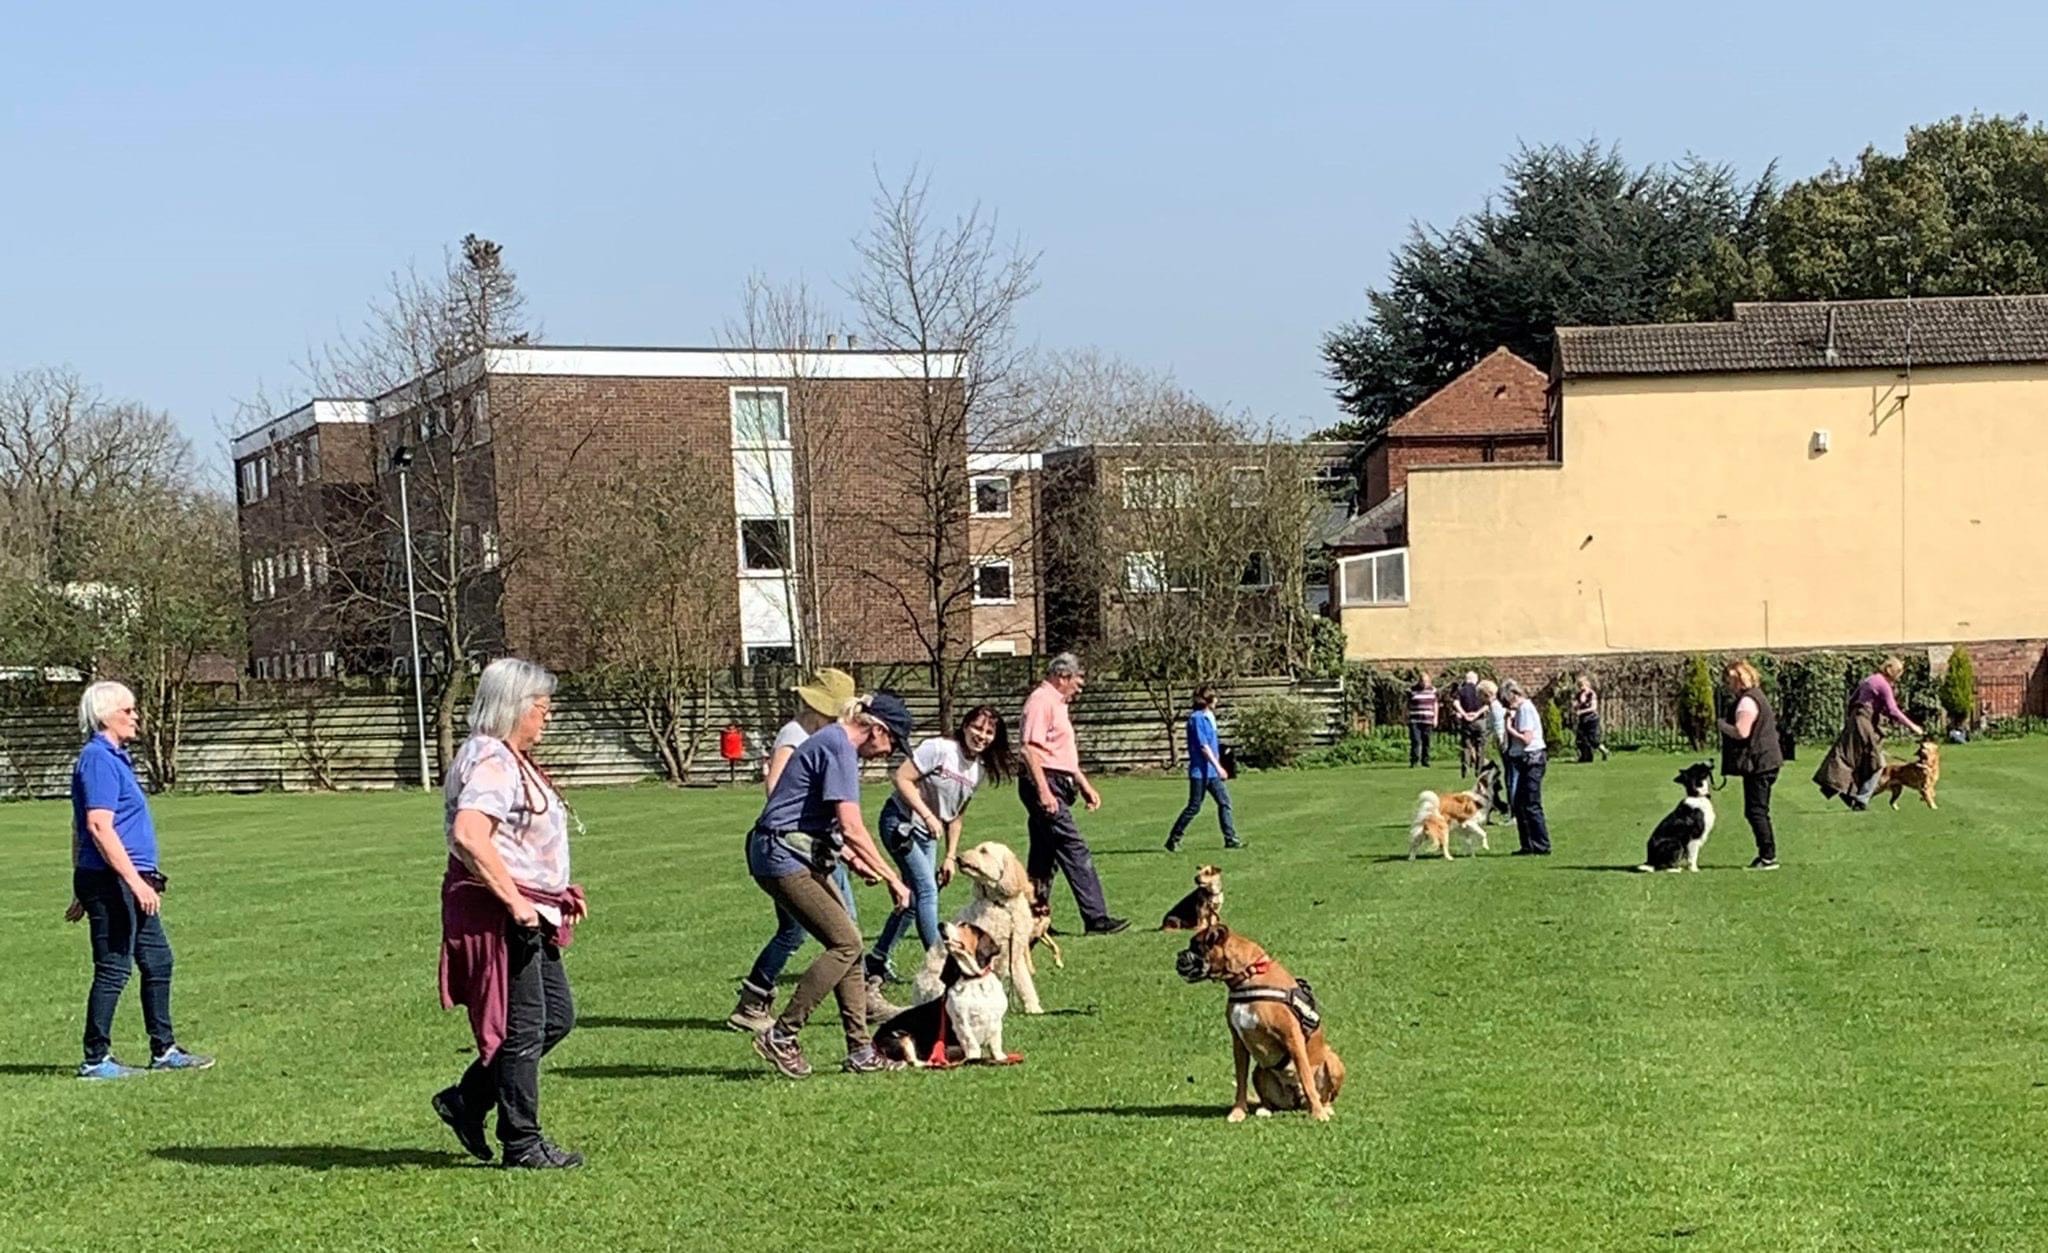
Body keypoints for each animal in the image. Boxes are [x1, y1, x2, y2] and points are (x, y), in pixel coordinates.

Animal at [909, 835, 1040, 1011]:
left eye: (983, 851)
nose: (958, 857)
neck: (1002, 906)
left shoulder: (1015, 955)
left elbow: (1025, 984)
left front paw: (1034, 1009)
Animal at [1187, 921, 1343, 1121]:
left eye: (1196, 947)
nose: (1179, 955)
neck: (1249, 975)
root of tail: (1297, 1101)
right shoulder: (1238, 1043)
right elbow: (1241, 1081)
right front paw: (1238, 1111)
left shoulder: (1293, 1038)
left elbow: (1306, 1077)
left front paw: (1318, 1113)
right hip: (1259, 1071)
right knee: (1267, 1099)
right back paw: (1265, 1109)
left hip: (1333, 1060)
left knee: (1325, 1095)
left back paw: (1324, 1107)